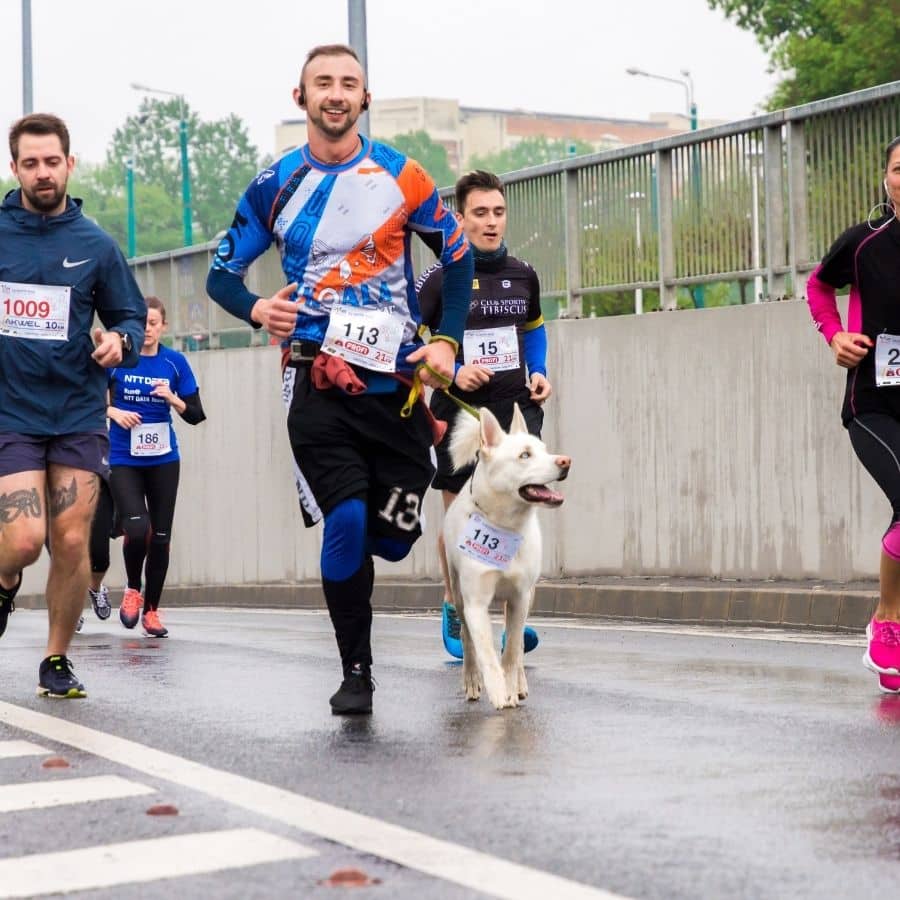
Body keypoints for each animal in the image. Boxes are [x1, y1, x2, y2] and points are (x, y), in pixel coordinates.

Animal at [442, 406, 568, 712]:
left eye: (544, 449)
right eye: (524, 455)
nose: (565, 461)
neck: (505, 526)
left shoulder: (520, 597)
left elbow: (511, 650)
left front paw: (510, 688)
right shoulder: (475, 603)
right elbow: (486, 651)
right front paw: (497, 691)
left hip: (529, 596)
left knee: (518, 643)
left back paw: (520, 685)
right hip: (458, 594)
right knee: (467, 640)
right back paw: (472, 680)